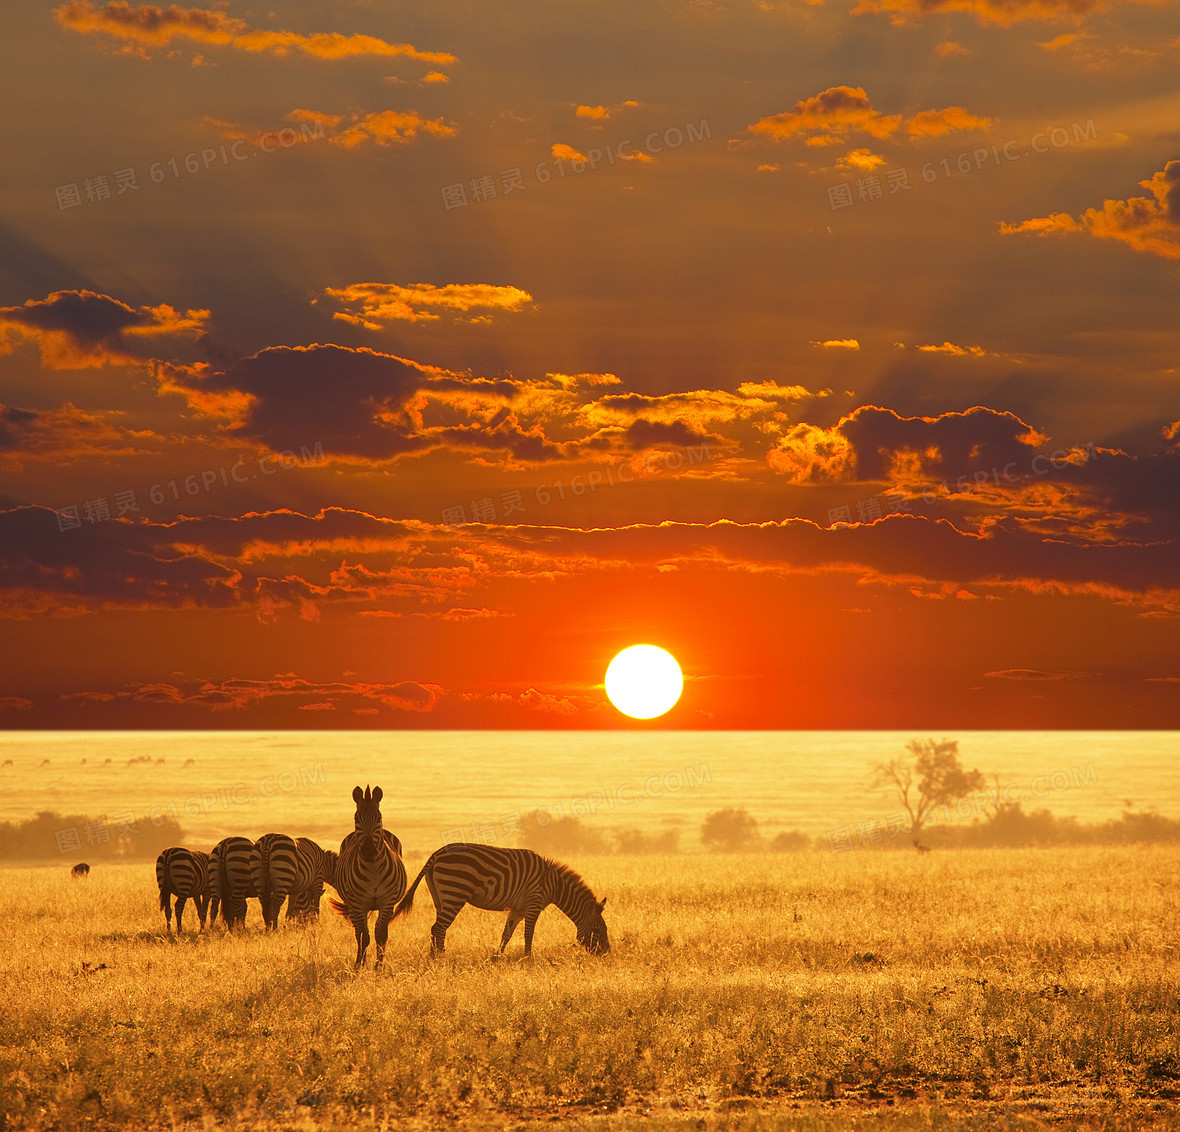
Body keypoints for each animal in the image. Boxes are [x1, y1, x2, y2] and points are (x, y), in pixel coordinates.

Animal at [330, 788, 408, 963]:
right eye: (356, 818)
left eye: (379, 817)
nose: (368, 851)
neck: (373, 869)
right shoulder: (358, 904)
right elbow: (364, 936)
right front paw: (361, 964)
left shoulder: (387, 902)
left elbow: (380, 935)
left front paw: (379, 965)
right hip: (354, 905)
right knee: (358, 932)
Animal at [394, 845, 613, 958]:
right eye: (599, 930)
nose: (607, 956)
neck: (554, 885)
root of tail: (436, 853)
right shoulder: (533, 904)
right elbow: (528, 934)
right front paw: (528, 959)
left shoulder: (518, 909)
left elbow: (506, 934)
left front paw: (497, 957)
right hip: (454, 892)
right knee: (439, 928)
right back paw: (440, 959)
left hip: (440, 897)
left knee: (438, 928)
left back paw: (436, 957)